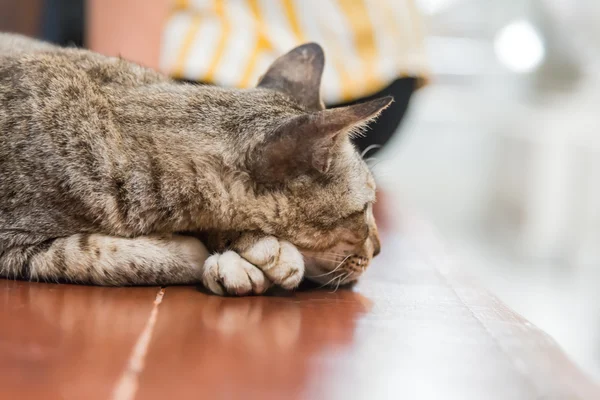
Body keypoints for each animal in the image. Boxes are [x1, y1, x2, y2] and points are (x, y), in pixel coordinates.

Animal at [0, 32, 390, 296]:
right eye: (364, 209)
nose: (379, 249)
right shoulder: (12, 243)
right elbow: (87, 253)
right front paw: (190, 252)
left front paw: (251, 248)